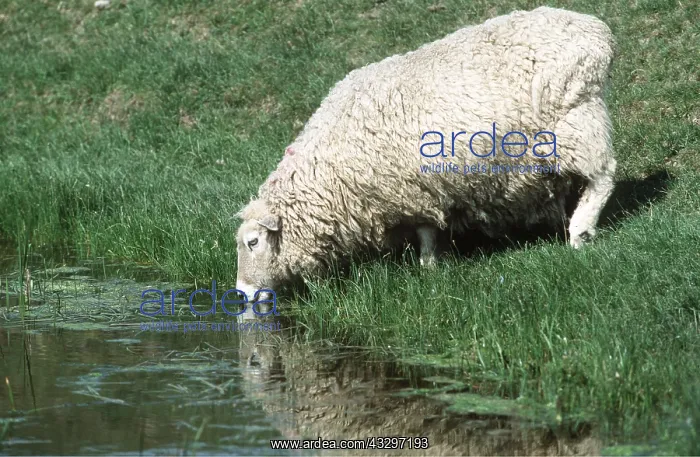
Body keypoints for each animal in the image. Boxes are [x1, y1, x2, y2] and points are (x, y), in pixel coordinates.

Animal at [235, 6, 617, 300]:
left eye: (253, 242)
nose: (241, 293)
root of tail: (595, 30)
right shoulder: (415, 190)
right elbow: (427, 227)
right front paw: (431, 268)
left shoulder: (409, 187)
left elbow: (425, 233)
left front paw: (428, 267)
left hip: (574, 119)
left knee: (603, 173)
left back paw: (580, 232)